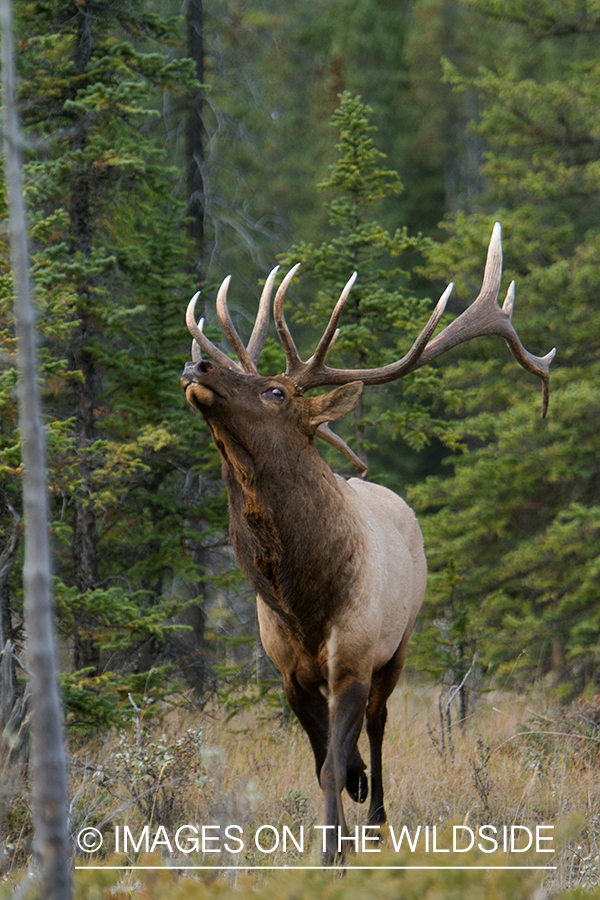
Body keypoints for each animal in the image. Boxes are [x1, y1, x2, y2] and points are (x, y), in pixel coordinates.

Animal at [180, 225, 556, 864]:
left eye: (276, 391)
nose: (197, 362)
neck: (303, 598)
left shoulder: (354, 659)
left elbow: (336, 762)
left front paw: (335, 849)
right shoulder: (288, 672)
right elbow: (319, 762)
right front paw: (339, 832)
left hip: (400, 641)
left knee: (379, 723)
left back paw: (377, 816)